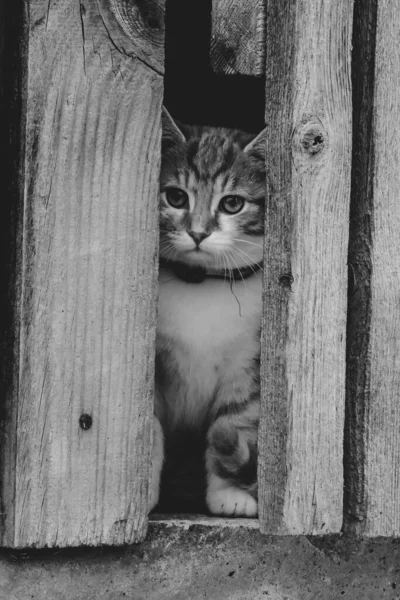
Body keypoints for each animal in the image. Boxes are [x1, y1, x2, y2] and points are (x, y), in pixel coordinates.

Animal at [149, 109, 266, 516]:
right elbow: (149, 421)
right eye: (175, 196)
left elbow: (237, 418)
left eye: (232, 204)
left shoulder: (248, 359)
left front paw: (230, 494)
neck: (200, 284)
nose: (198, 232)